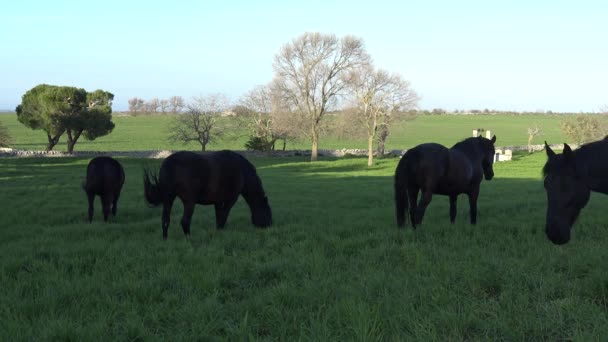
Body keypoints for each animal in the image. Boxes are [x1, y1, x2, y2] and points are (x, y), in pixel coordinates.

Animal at [142, 151, 270, 239]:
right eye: (267, 212)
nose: (269, 226)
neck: (241, 171)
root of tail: (169, 164)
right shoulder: (231, 199)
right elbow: (224, 215)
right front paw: (221, 230)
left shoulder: (218, 201)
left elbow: (219, 216)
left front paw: (219, 231)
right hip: (189, 202)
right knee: (185, 221)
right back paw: (189, 239)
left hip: (168, 199)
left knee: (165, 220)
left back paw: (165, 239)